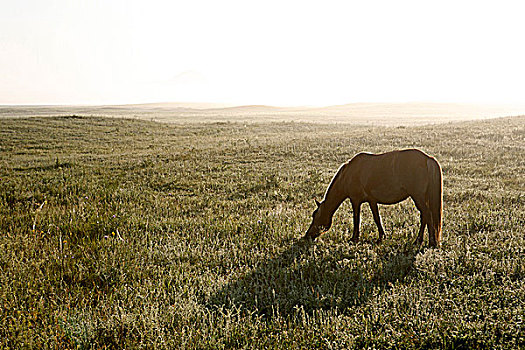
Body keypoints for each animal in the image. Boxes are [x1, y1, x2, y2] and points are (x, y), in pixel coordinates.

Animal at [302, 149, 442, 247]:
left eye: (315, 216)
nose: (307, 236)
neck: (348, 174)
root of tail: (427, 159)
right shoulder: (372, 200)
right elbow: (377, 218)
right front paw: (381, 237)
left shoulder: (355, 200)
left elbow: (356, 219)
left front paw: (354, 239)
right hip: (421, 197)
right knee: (424, 216)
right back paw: (419, 241)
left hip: (418, 196)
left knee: (427, 215)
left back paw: (431, 243)